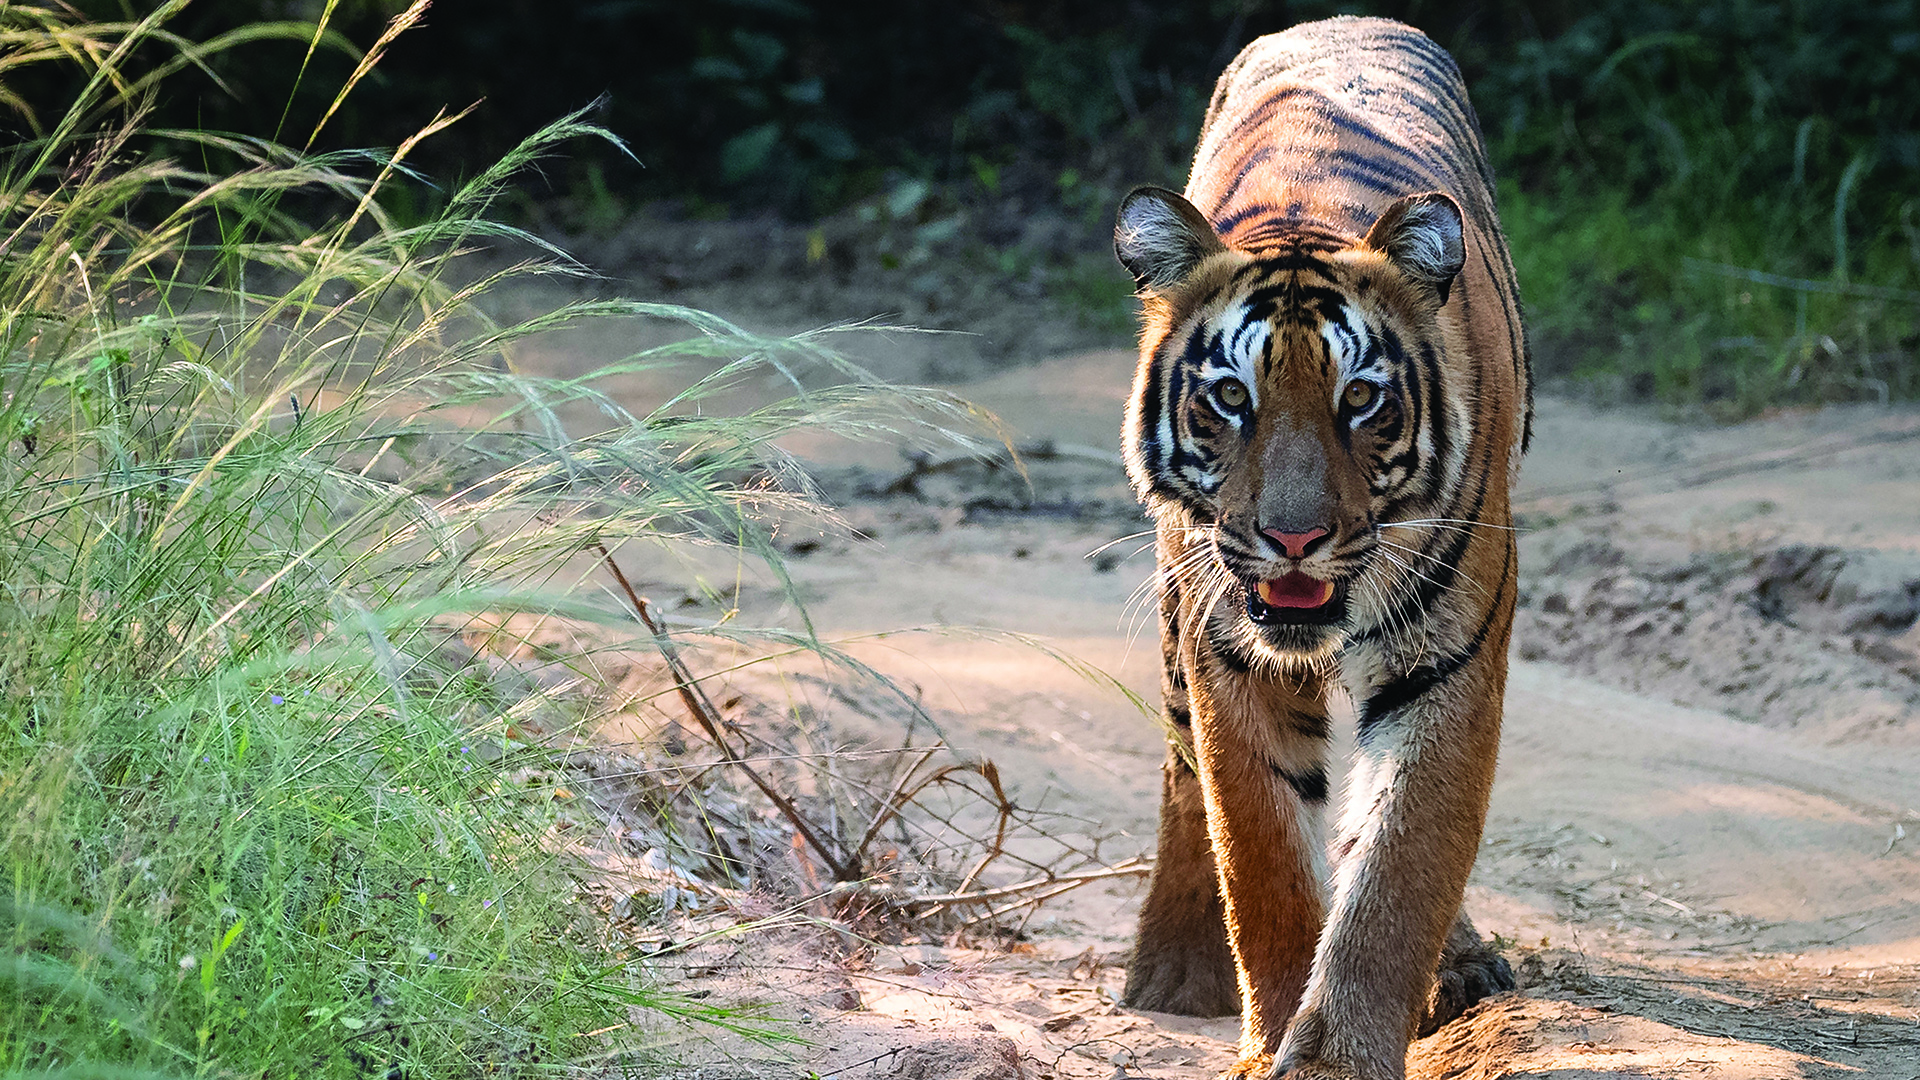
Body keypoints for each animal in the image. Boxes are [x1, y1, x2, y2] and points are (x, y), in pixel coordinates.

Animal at [1113, 16, 1528, 1076]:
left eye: (1361, 399)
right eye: (1231, 397)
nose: (1293, 537)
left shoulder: (1447, 661)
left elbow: (1399, 867)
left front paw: (1340, 1052)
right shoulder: (1230, 658)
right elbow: (1260, 860)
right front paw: (1269, 1039)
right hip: (1176, 611)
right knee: (1181, 775)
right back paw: (1175, 972)